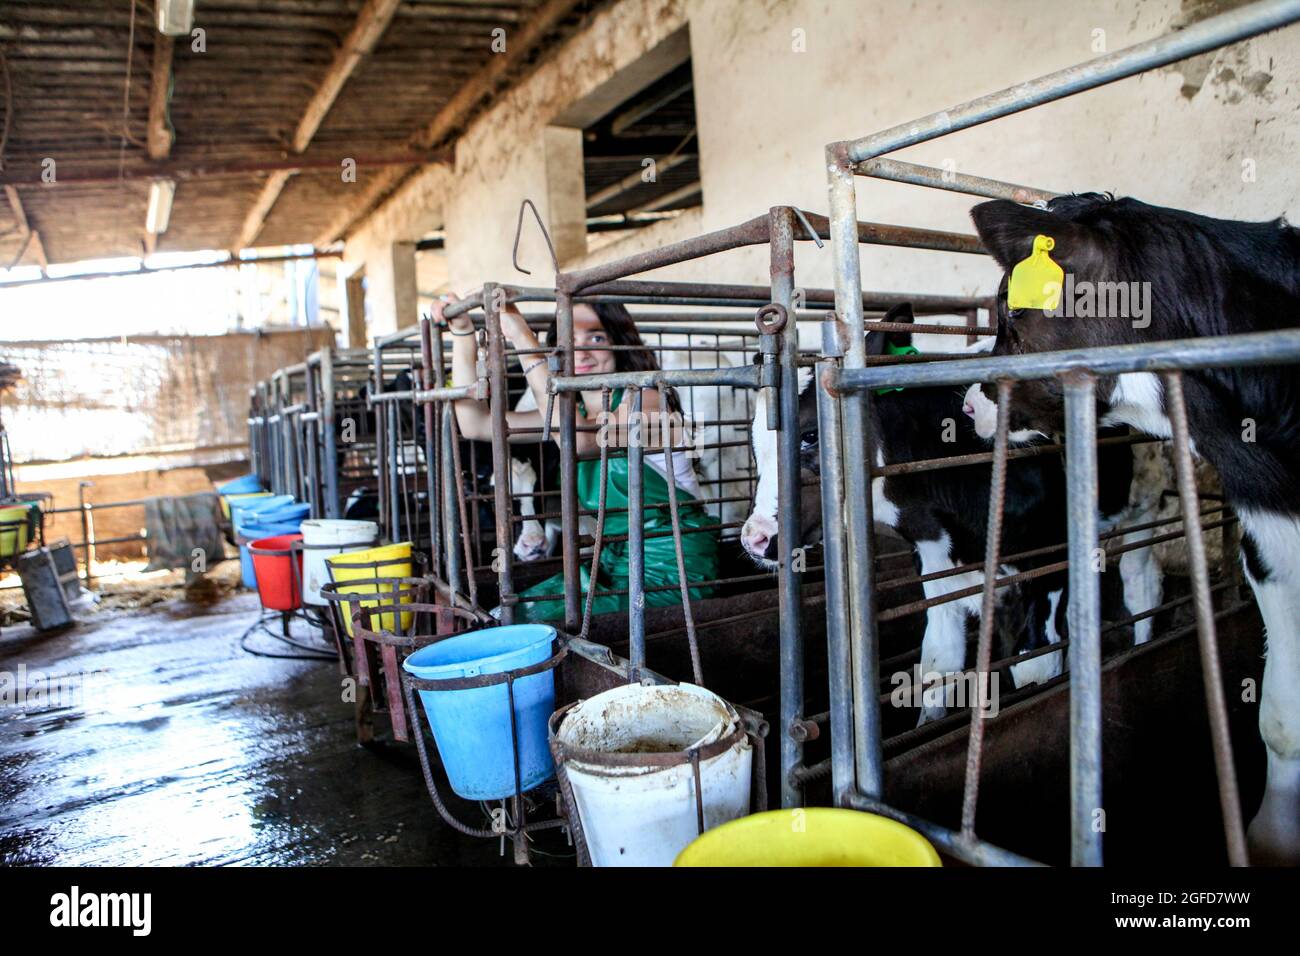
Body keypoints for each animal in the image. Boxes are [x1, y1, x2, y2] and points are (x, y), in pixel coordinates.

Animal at [743, 308, 1170, 723]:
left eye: (810, 435)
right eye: (754, 444)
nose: (754, 538)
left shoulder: (1047, 561)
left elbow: (1034, 665)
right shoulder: (934, 560)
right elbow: (938, 663)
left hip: (1146, 500)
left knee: (1141, 582)